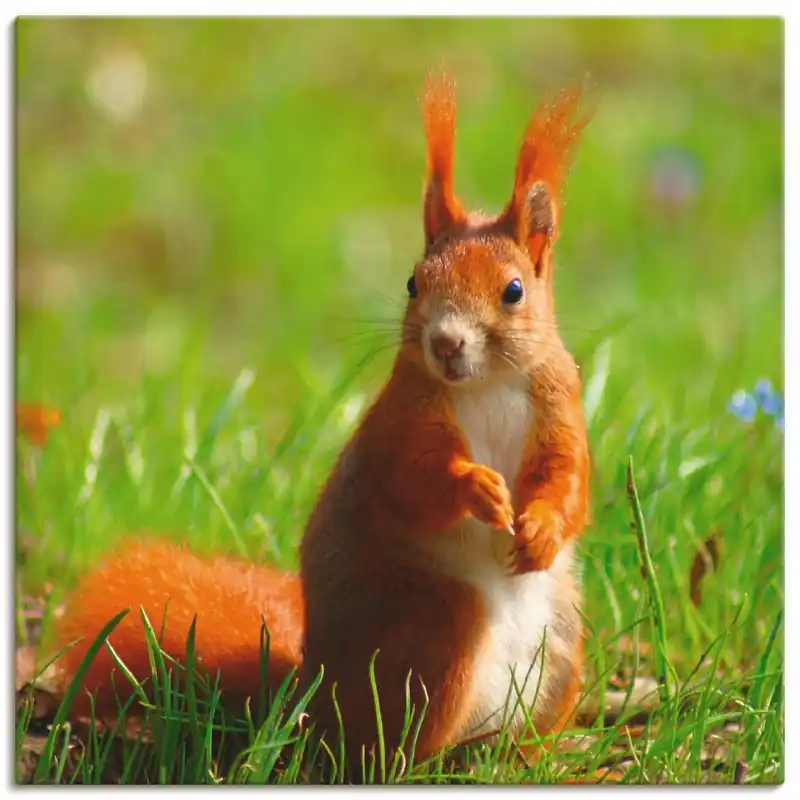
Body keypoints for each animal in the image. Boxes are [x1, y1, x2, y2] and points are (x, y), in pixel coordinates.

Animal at [49, 72, 592, 776]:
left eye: (514, 290)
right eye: (414, 282)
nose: (445, 344)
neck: (487, 384)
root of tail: (310, 695)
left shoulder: (560, 406)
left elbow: (569, 480)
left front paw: (542, 527)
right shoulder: (402, 420)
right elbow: (413, 479)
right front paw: (476, 487)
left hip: (562, 643)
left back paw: (527, 755)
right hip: (437, 622)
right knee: (389, 742)